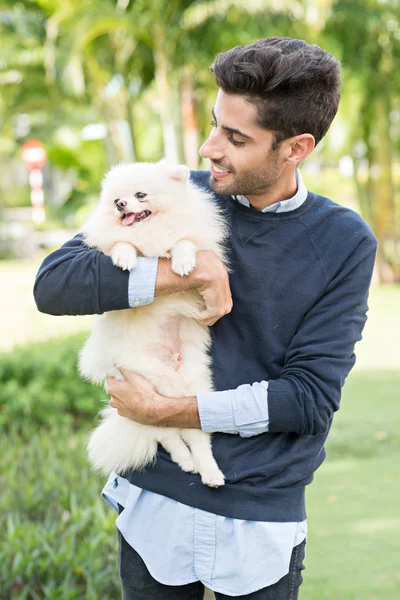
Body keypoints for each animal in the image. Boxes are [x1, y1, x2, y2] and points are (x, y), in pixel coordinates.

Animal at [78, 161, 228, 488]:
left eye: (140, 195)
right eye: (115, 199)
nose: (120, 205)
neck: (151, 232)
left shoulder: (195, 238)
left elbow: (184, 242)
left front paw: (182, 262)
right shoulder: (114, 241)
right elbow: (122, 241)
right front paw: (125, 257)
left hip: (190, 387)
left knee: (195, 438)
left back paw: (209, 471)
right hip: (147, 383)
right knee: (167, 435)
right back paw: (188, 463)